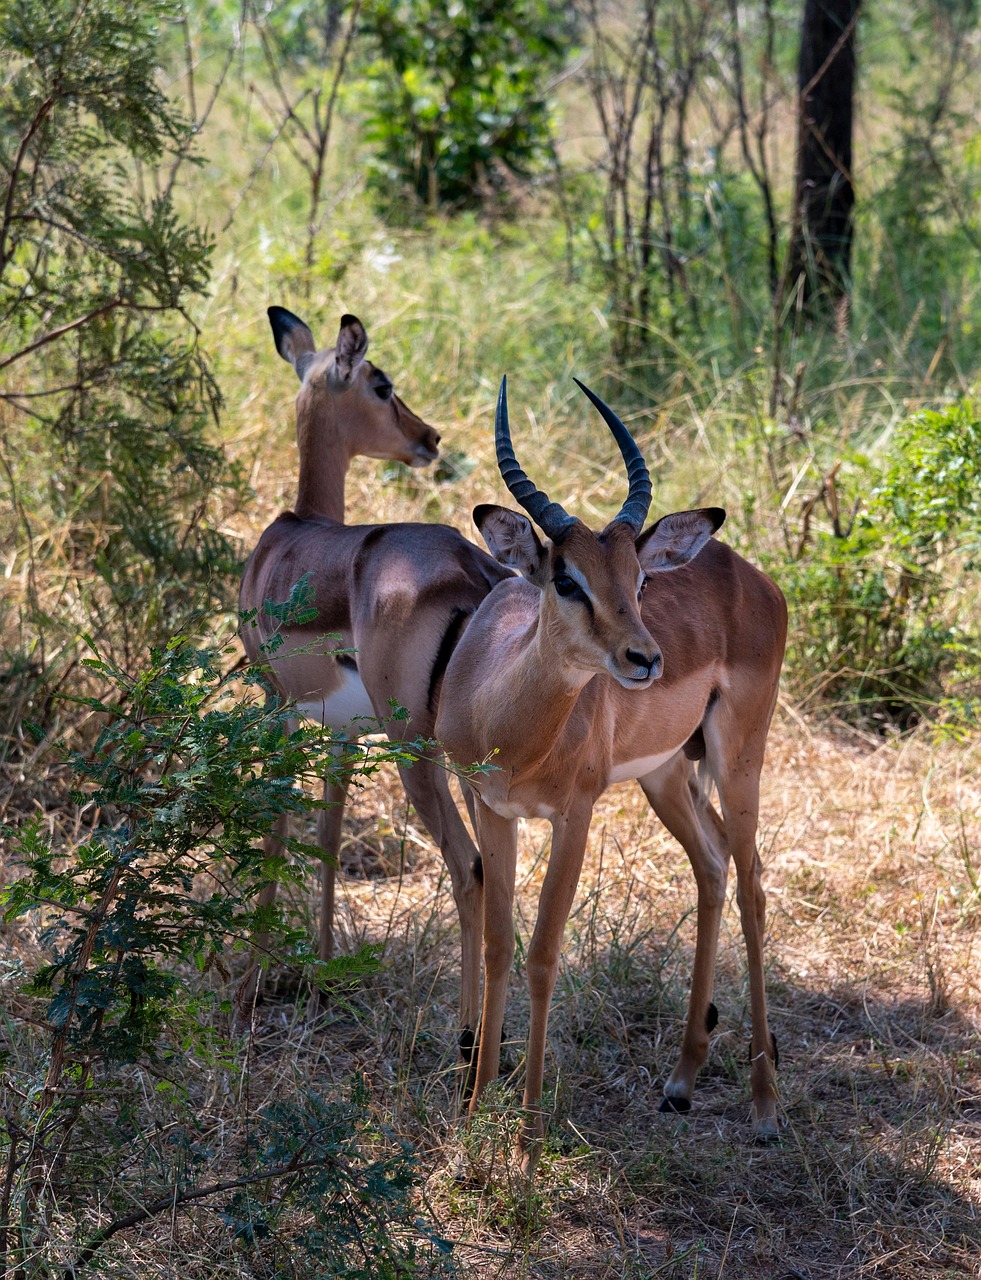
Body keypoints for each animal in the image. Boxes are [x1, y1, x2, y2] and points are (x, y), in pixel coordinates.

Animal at [237, 307, 510, 1041]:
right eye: (383, 386)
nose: (428, 438)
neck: (292, 536)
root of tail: (471, 568)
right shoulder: (343, 733)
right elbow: (329, 837)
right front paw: (321, 980)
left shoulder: (279, 709)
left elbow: (277, 829)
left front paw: (246, 992)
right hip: (469, 756)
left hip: (417, 750)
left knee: (469, 867)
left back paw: (466, 1039)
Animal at [435, 378, 788, 1176]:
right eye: (565, 579)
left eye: (638, 577)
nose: (645, 659)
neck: (507, 723)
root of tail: (751, 576)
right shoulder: (490, 809)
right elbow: (498, 944)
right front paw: (470, 1126)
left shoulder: (576, 815)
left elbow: (542, 954)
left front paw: (529, 1144)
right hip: (668, 776)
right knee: (713, 865)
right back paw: (680, 1083)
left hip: (737, 757)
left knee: (752, 882)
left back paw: (764, 1110)